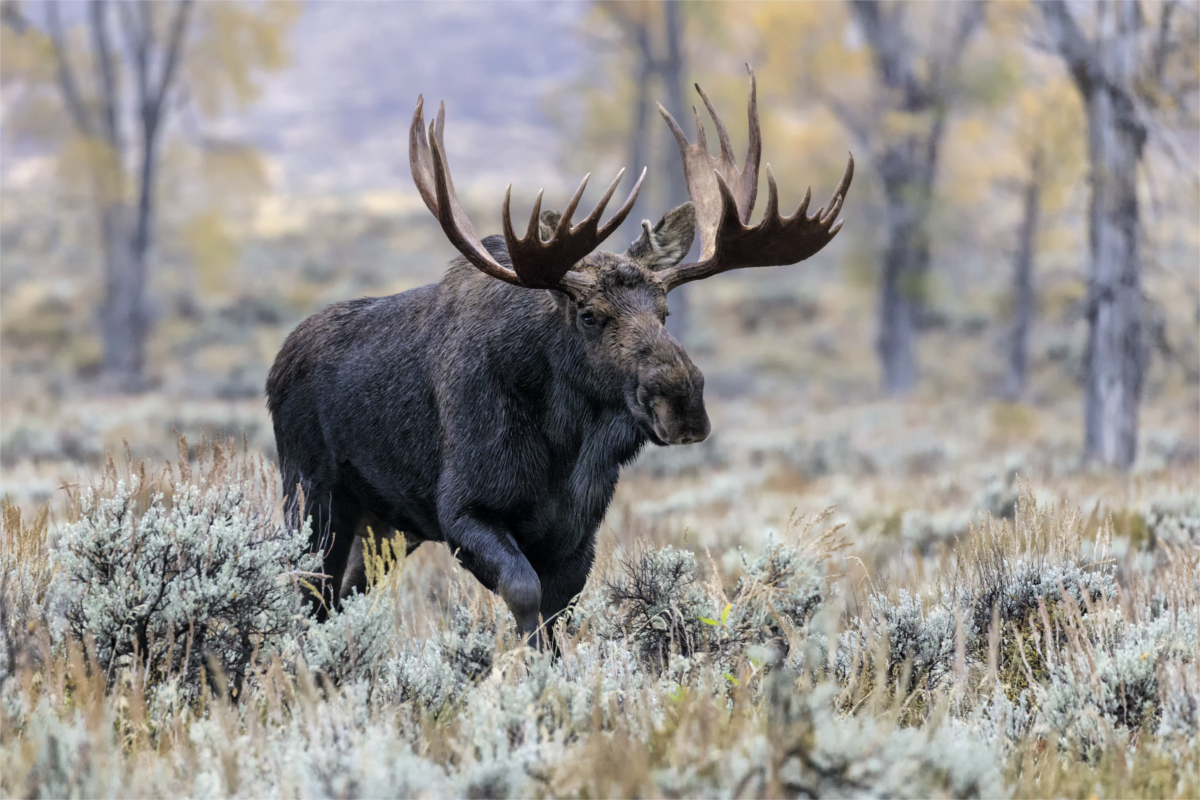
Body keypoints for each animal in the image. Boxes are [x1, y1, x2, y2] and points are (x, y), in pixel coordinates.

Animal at [270, 67, 854, 642]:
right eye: (589, 315)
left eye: (665, 311)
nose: (683, 404)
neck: (563, 447)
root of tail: (277, 364)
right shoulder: (462, 509)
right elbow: (525, 598)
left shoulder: (577, 534)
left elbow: (557, 619)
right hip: (312, 496)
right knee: (308, 592)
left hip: (386, 525)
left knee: (338, 596)